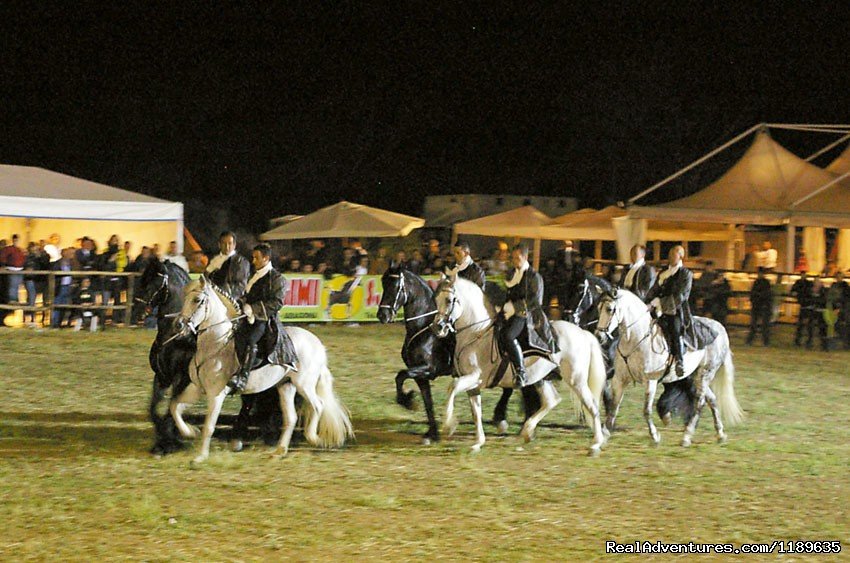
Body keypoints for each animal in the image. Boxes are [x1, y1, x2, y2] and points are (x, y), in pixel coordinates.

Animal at [171, 278, 350, 468]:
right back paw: (279, 451)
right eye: (184, 297)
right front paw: (189, 431)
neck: (216, 344)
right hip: (286, 385)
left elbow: (209, 426)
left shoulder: (216, 394)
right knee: (291, 418)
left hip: (305, 385)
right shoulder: (197, 388)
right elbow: (175, 406)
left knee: (318, 405)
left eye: (197, 300)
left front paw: (200, 457)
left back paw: (313, 438)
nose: (178, 325)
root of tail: (318, 345)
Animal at [434, 278, 608, 458]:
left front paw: (449, 426)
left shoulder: (474, 377)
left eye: (449, 300)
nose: (437, 327)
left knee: (592, 405)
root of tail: (582, 333)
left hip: (576, 380)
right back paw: (527, 431)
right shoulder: (473, 386)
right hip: (542, 378)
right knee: (552, 400)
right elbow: (476, 412)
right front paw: (477, 443)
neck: (476, 333)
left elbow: (452, 388)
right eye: (436, 300)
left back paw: (595, 445)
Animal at [588, 288, 744, 448]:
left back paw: (687, 436)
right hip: (695, 376)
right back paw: (720, 434)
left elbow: (646, 411)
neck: (635, 339)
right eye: (598, 308)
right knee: (711, 399)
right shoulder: (619, 380)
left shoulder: (650, 382)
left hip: (705, 373)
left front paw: (655, 436)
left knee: (699, 403)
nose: (598, 336)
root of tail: (721, 328)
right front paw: (603, 436)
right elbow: (613, 407)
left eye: (609, 309)